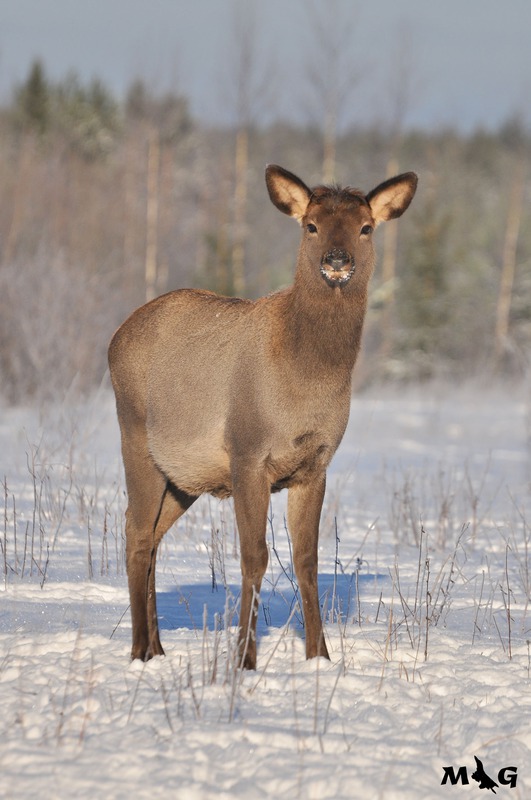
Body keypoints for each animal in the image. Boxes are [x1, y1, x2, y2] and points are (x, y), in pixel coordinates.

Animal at [110, 166, 418, 672]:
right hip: (135, 436)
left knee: (153, 536)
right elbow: (254, 558)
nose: (337, 261)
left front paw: (319, 656)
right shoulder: (247, 452)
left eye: (365, 227)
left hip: (183, 477)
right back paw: (140, 651)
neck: (305, 381)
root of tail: (115, 337)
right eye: (310, 225)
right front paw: (244, 659)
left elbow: (307, 560)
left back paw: (157, 645)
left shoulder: (314, 465)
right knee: (135, 531)